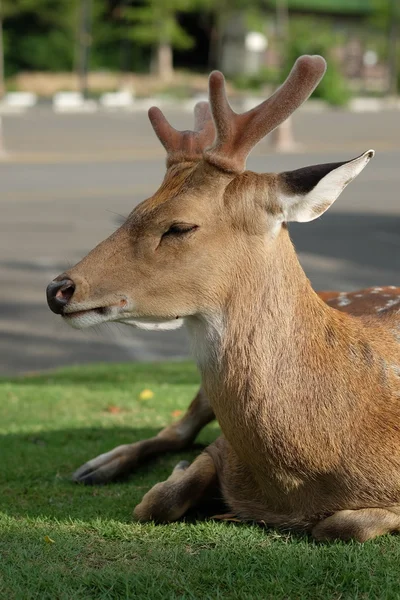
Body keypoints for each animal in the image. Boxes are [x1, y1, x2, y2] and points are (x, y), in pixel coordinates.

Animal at [45, 57, 400, 544]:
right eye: (134, 210)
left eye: (179, 226)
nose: (58, 289)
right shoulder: (220, 449)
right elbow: (158, 500)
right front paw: (180, 480)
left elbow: (344, 525)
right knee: (178, 429)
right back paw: (99, 465)